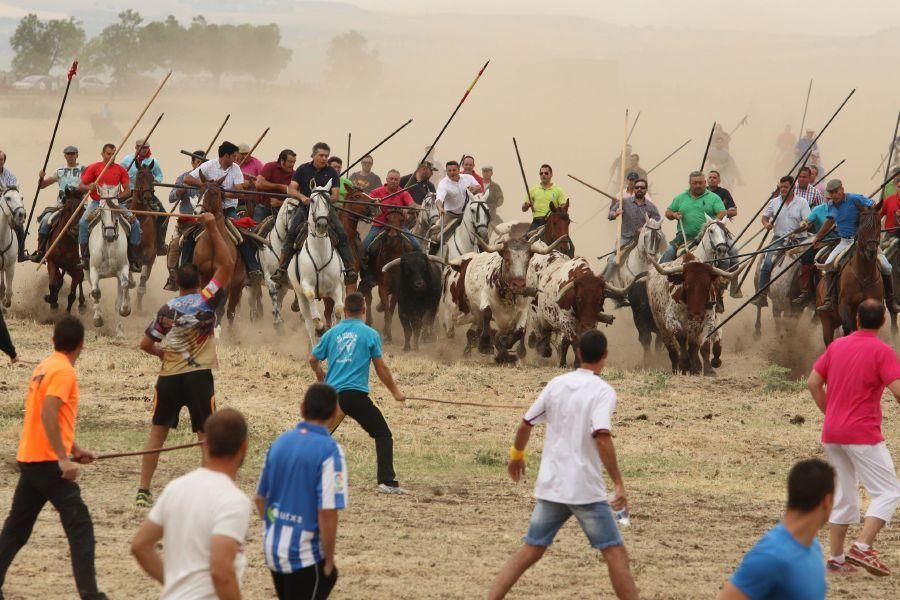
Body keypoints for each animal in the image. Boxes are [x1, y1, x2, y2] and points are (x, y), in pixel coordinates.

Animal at [86, 185, 133, 336]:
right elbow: (96, 292)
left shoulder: (123, 268)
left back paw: (119, 330)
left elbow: (124, 286)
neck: (108, 246)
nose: (110, 234)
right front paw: (98, 320)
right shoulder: (93, 271)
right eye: (101, 211)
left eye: (116, 209)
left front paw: (125, 310)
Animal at [191, 172, 246, 324]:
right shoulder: (202, 276)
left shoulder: (226, 280)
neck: (213, 243)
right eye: (200, 191)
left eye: (215, 193)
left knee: (230, 312)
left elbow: (220, 309)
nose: (199, 213)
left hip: (237, 285)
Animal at [288, 183, 344, 346]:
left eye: (328, 200)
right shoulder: (306, 285)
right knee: (308, 322)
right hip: (299, 295)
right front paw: (320, 327)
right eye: (312, 200)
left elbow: (339, 310)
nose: (322, 224)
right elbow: (311, 296)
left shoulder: (336, 287)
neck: (319, 254)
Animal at [440, 237, 568, 364]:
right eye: (507, 259)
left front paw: (505, 344)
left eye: (527, 260)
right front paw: (485, 345)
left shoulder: (523, 310)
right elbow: (487, 315)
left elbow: (519, 331)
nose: (519, 284)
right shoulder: (482, 301)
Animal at [820, 209, 884, 344]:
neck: (864, 275)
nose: (871, 250)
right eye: (861, 224)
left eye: (878, 224)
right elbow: (850, 327)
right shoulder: (845, 304)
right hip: (827, 321)